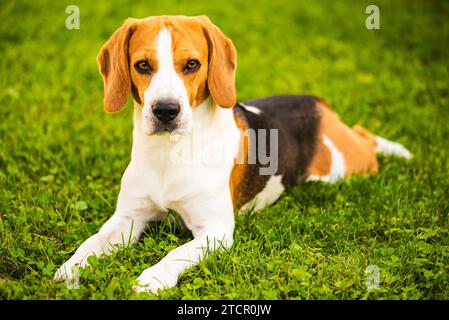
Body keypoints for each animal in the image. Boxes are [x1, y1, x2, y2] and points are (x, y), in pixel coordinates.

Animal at [53, 16, 410, 294]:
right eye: (143, 65)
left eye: (192, 65)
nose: (165, 110)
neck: (170, 152)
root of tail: (318, 102)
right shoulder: (127, 219)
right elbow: (91, 243)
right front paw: (70, 269)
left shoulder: (215, 231)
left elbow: (176, 253)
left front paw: (152, 277)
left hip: (345, 166)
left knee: (365, 136)